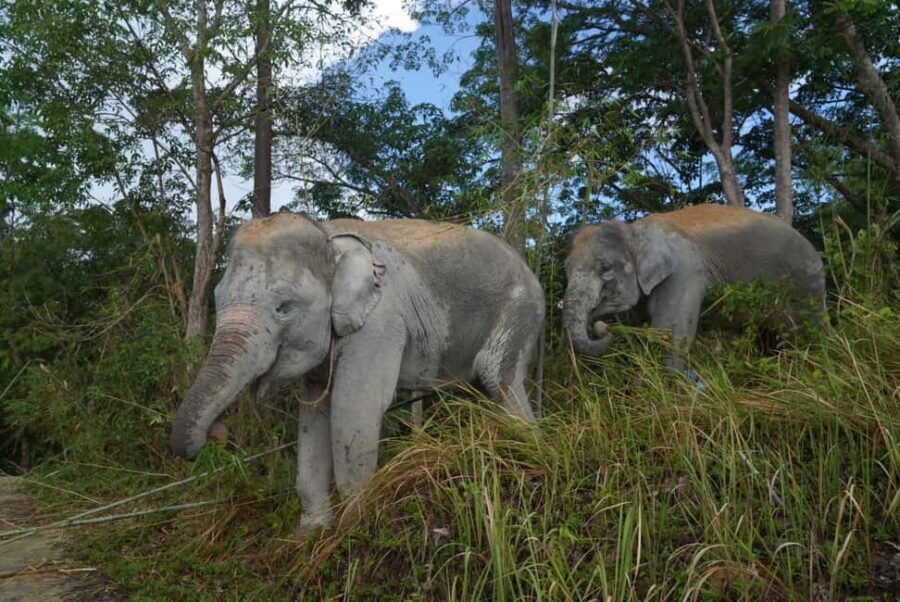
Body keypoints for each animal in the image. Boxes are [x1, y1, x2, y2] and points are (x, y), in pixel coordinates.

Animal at [170, 213, 545, 532]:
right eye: (218, 299)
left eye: (283, 307)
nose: (218, 432)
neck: (327, 236)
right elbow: (313, 417)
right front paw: (311, 534)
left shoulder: (381, 322)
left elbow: (352, 408)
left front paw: (353, 530)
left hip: (520, 311)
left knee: (499, 377)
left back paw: (531, 452)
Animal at [562, 204, 825, 371]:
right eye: (566, 268)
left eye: (605, 268)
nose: (600, 327)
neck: (636, 230)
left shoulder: (684, 273)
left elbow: (667, 332)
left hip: (804, 286)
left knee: (801, 335)